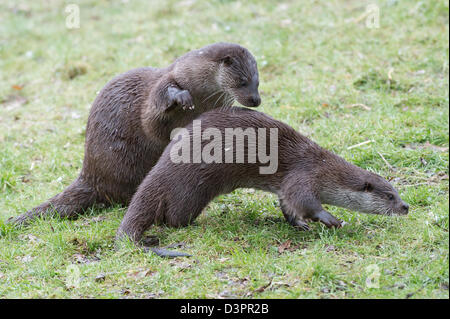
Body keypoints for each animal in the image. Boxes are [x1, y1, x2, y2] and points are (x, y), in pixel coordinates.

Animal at [9, 42, 260, 226]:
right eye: (242, 81)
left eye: (257, 82)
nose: (256, 100)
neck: (200, 94)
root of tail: (90, 174)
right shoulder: (158, 92)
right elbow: (153, 120)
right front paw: (180, 97)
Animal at [117, 107, 412, 248]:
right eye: (389, 196)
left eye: (397, 192)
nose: (406, 206)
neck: (326, 170)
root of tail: (160, 171)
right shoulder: (304, 176)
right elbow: (303, 200)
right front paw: (330, 219)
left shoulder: (285, 186)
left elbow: (288, 205)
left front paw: (299, 224)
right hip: (191, 189)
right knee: (173, 218)